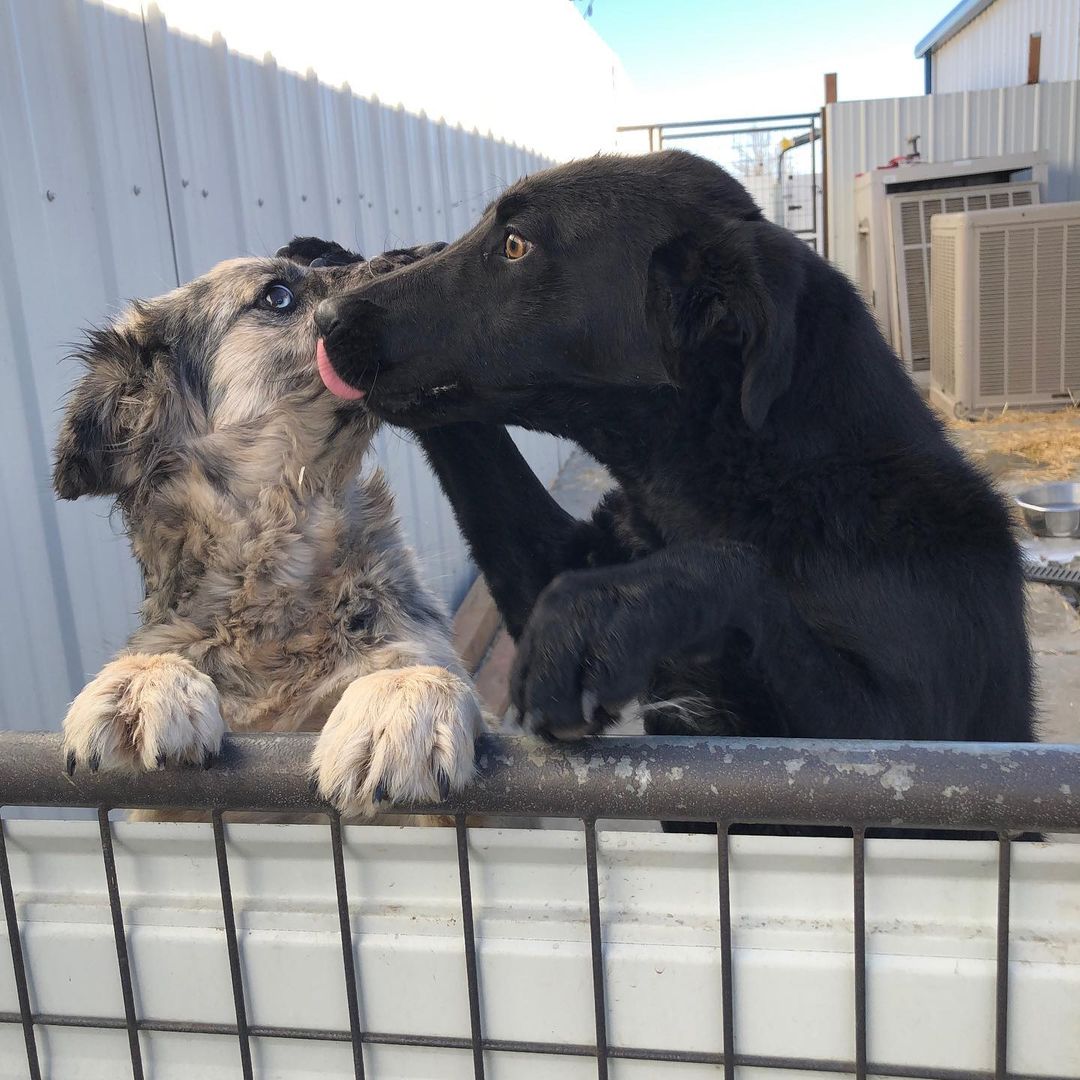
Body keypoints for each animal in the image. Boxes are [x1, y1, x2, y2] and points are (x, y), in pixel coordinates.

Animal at [282, 147, 1032, 825]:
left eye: (516, 245)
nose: (327, 319)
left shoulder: (902, 753)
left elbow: (725, 569)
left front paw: (595, 615)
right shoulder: (554, 555)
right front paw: (325, 253)